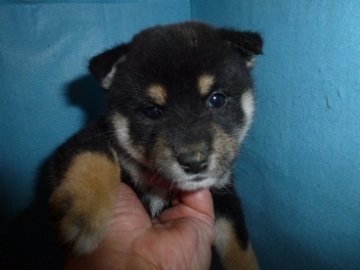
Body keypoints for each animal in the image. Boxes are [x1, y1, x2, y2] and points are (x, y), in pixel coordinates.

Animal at [48, 21, 262, 270]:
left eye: (216, 99)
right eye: (151, 110)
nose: (194, 162)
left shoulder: (224, 193)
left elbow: (239, 247)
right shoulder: (86, 138)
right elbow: (94, 156)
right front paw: (82, 215)